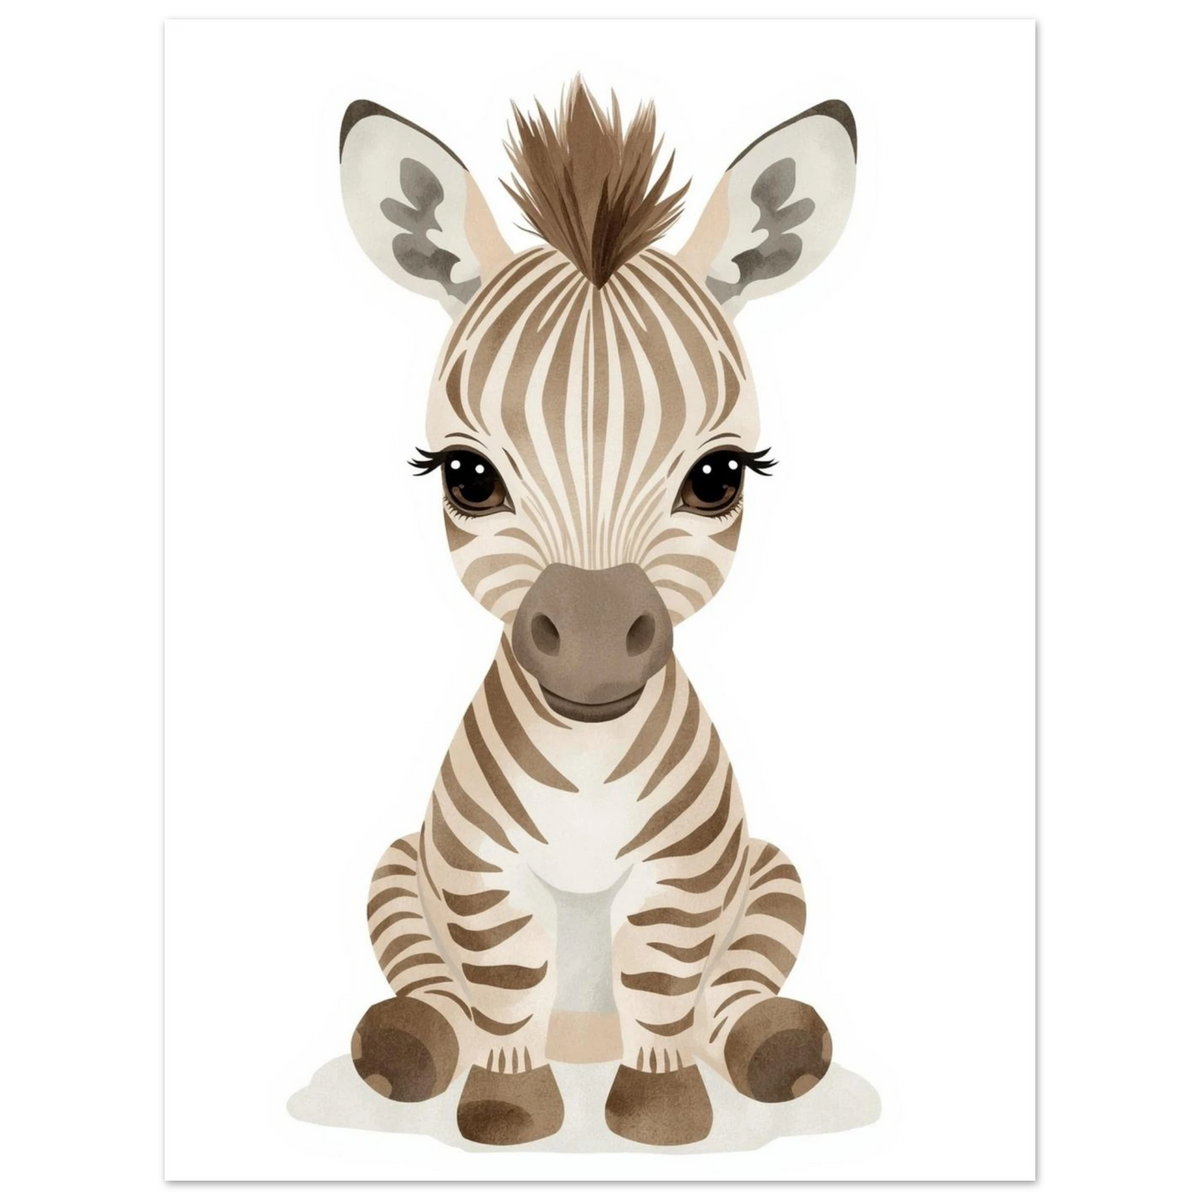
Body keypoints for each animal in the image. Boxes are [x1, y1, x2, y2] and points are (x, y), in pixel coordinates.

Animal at [338, 79, 857, 1148]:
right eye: (466, 475)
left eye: (719, 476)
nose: (587, 649)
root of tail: (585, 1036)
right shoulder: (475, 871)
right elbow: (501, 986)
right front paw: (505, 1109)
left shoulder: (688, 873)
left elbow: (662, 984)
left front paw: (662, 1112)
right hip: (399, 865)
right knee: (433, 981)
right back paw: (409, 1044)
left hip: (772, 870)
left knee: (734, 986)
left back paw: (774, 1047)